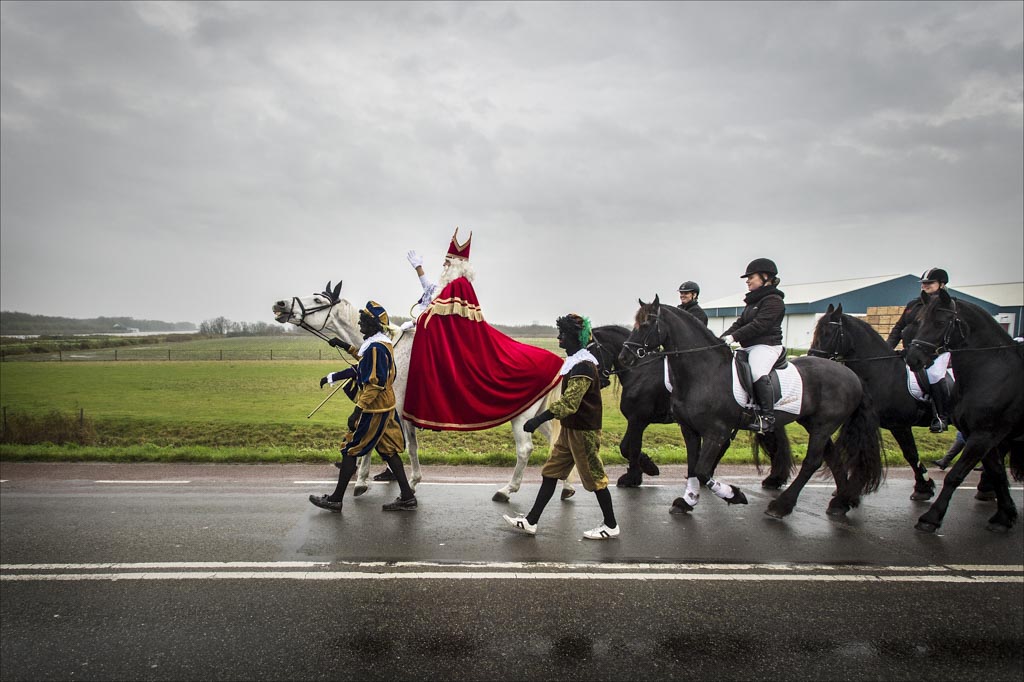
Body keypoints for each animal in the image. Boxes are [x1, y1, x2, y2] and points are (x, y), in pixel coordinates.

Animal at [272, 280, 577, 499]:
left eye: (318, 300)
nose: (280, 304)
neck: (386, 345)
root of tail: (559, 362)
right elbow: (400, 445)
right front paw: (389, 478)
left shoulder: (391, 406)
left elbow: (393, 444)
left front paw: (368, 481)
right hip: (536, 416)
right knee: (554, 444)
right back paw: (565, 487)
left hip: (521, 418)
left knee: (525, 450)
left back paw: (507, 490)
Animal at [589, 323, 794, 489]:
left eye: (591, 351)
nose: (597, 381)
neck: (640, 370)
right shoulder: (637, 419)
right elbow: (627, 447)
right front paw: (646, 468)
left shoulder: (638, 419)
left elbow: (630, 447)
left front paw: (635, 476)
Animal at [618, 296, 884, 516]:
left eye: (646, 324)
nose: (625, 357)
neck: (703, 372)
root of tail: (851, 373)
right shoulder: (689, 429)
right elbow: (693, 466)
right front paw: (687, 500)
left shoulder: (716, 431)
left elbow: (702, 470)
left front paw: (734, 495)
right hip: (814, 423)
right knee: (833, 457)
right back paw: (841, 502)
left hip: (823, 425)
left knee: (812, 462)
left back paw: (782, 506)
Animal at [806, 303, 937, 499]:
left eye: (828, 333)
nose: (812, 359)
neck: (884, 372)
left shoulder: (900, 425)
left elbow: (911, 455)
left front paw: (923, 487)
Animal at [905, 288, 1024, 532]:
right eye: (919, 321)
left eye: (941, 322)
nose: (913, 358)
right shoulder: (977, 434)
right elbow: (997, 471)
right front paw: (1004, 515)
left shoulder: (985, 434)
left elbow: (955, 474)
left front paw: (930, 517)